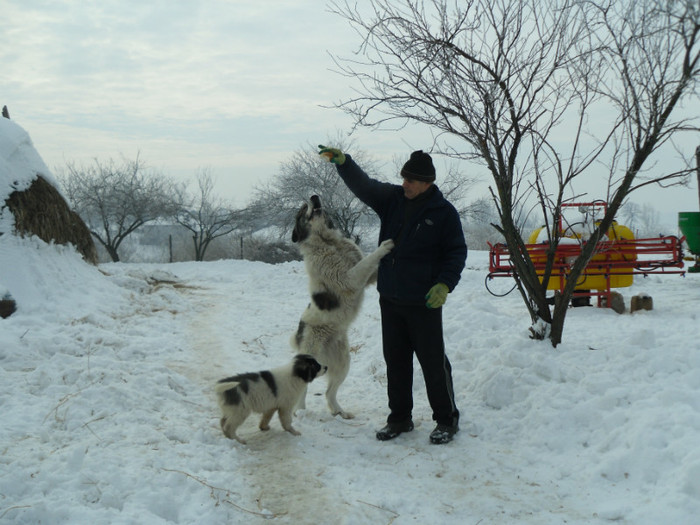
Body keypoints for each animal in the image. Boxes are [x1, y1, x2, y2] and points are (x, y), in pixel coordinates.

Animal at [288, 194, 392, 420]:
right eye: (303, 208)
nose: (314, 196)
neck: (329, 242)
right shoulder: (349, 278)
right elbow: (368, 260)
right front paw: (385, 246)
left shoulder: (368, 277)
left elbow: (370, 264)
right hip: (312, 356)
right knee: (304, 388)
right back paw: (299, 412)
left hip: (343, 362)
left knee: (329, 392)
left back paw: (339, 411)